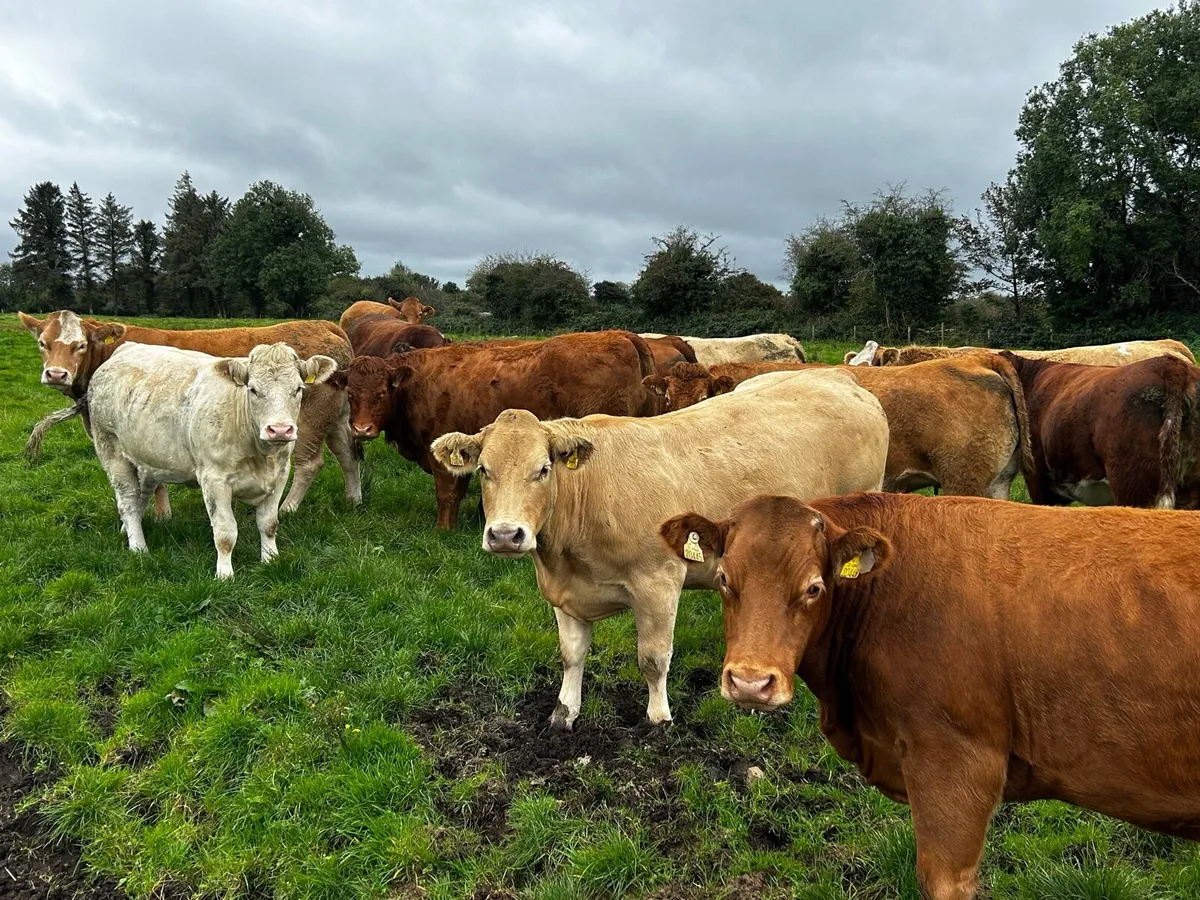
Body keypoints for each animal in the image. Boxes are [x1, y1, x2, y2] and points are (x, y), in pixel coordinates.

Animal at [19, 310, 359, 515]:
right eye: (43, 343)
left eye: (80, 345)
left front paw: (161, 514)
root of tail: (324, 324)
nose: (56, 374)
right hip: (337, 418)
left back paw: (287, 507)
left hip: (304, 423)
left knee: (310, 464)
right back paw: (353, 498)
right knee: (348, 455)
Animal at [87, 342, 337, 579]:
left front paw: (270, 559)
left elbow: (269, 524)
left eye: (298, 389)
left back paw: (128, 530)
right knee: (128, 501)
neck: (261, 456)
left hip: (147, 460)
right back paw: (138, 547)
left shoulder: (280, 475)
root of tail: (126, 348)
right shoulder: (214, 480)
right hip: (111, 449)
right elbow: (225, 532)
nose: (280, 430)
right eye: (253, 390)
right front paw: (225, 574)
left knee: (142, 495)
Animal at [329, 330, 658, 528]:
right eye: (351, 394)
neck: (419, 383)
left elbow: (446, 495)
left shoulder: (441, 456)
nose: (362, 429)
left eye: (381, 393)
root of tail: (619, 335)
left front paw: (442, 529)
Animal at [428, 369, 888, 729]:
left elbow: (653, 658)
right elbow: (571, 654)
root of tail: (837, 378)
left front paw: (659, 717)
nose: (506, 535)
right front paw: (565, 711)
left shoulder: (659, 582)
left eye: (542, 469)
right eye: (483, 469)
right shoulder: (564, 591)